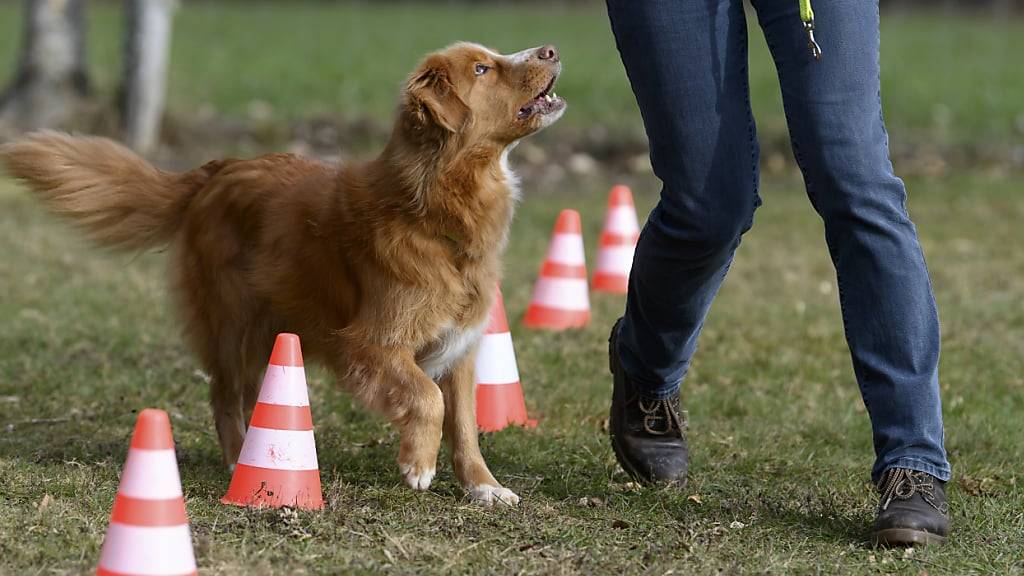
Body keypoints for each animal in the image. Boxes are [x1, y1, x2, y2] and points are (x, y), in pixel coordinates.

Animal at [0, 41, 565, 502]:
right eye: (482, 68)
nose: (551, 50)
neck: (432, 207)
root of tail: (216, 171)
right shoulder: (369, 343)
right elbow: (427, 399)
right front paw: (418, 464)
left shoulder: (460, 347)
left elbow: (464, 422)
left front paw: (483, 486)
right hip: (234, 324)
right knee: (224, 393)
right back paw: (237, 460)